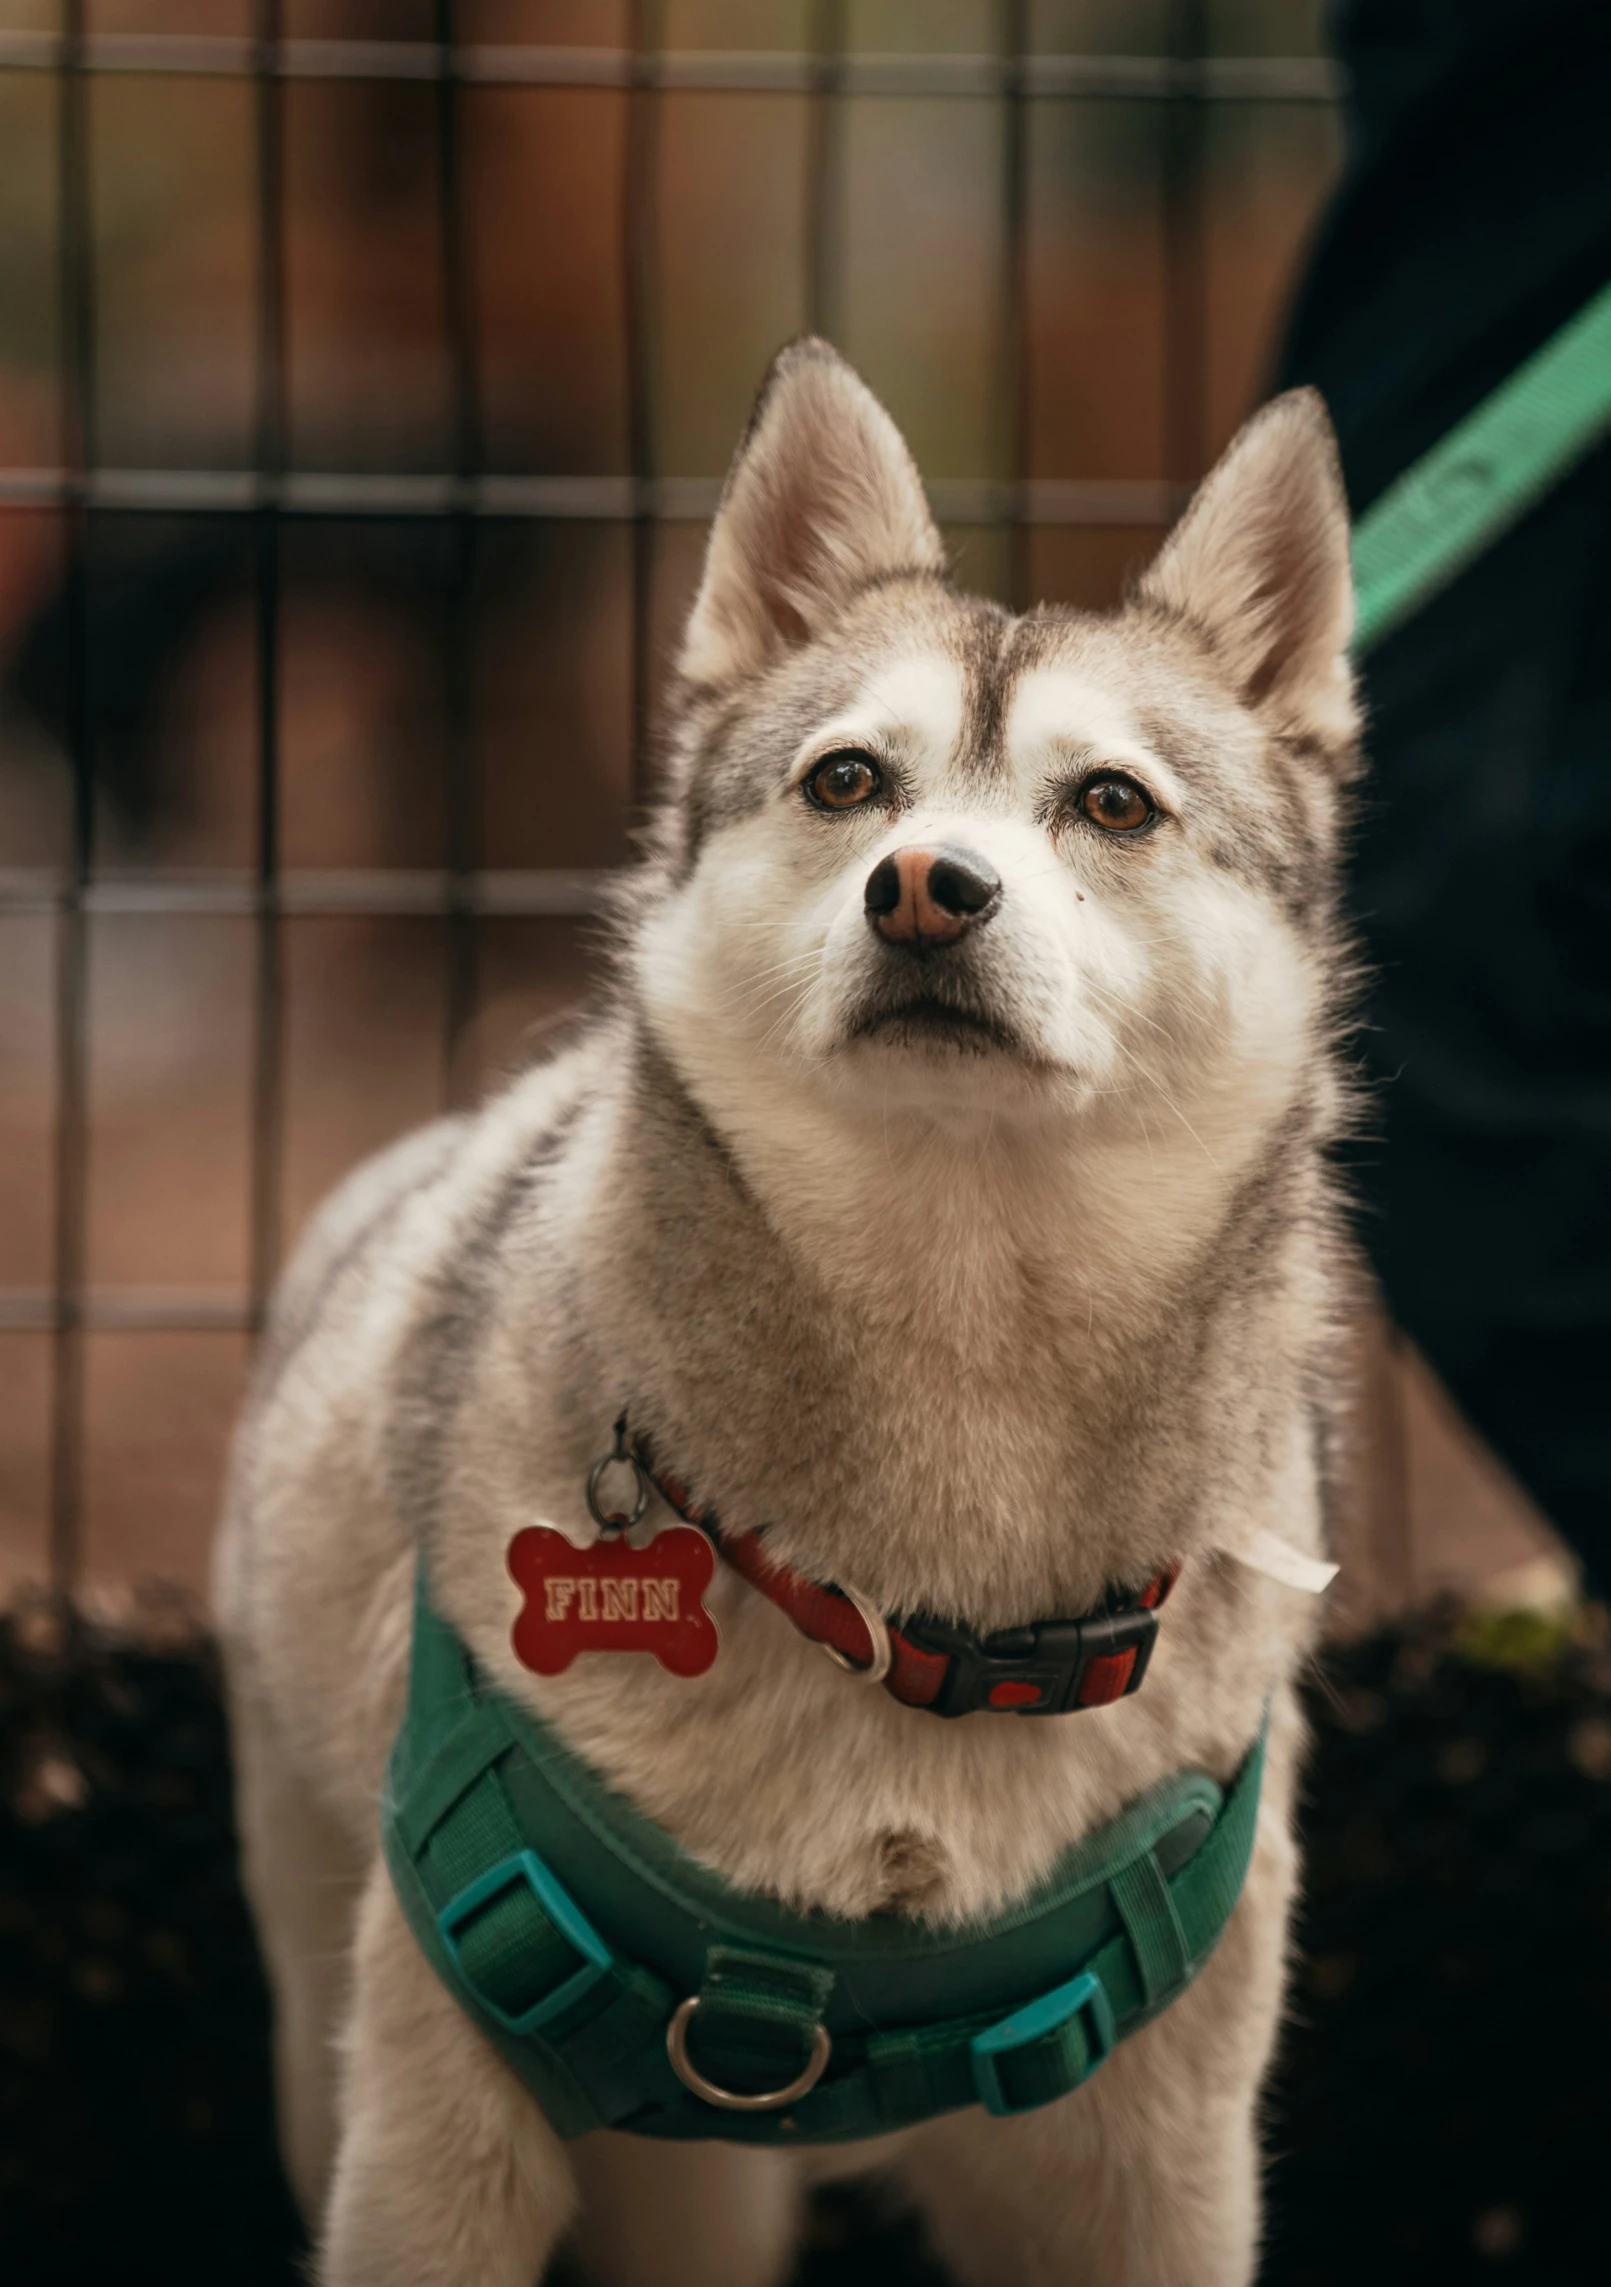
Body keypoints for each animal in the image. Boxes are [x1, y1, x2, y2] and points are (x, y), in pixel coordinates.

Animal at [217, 343, 1354, 2287]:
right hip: (334, 2004)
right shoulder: (440, 2121)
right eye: (845, 781)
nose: (924, 887)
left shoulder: (1158, 2168)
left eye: (1111, 802)